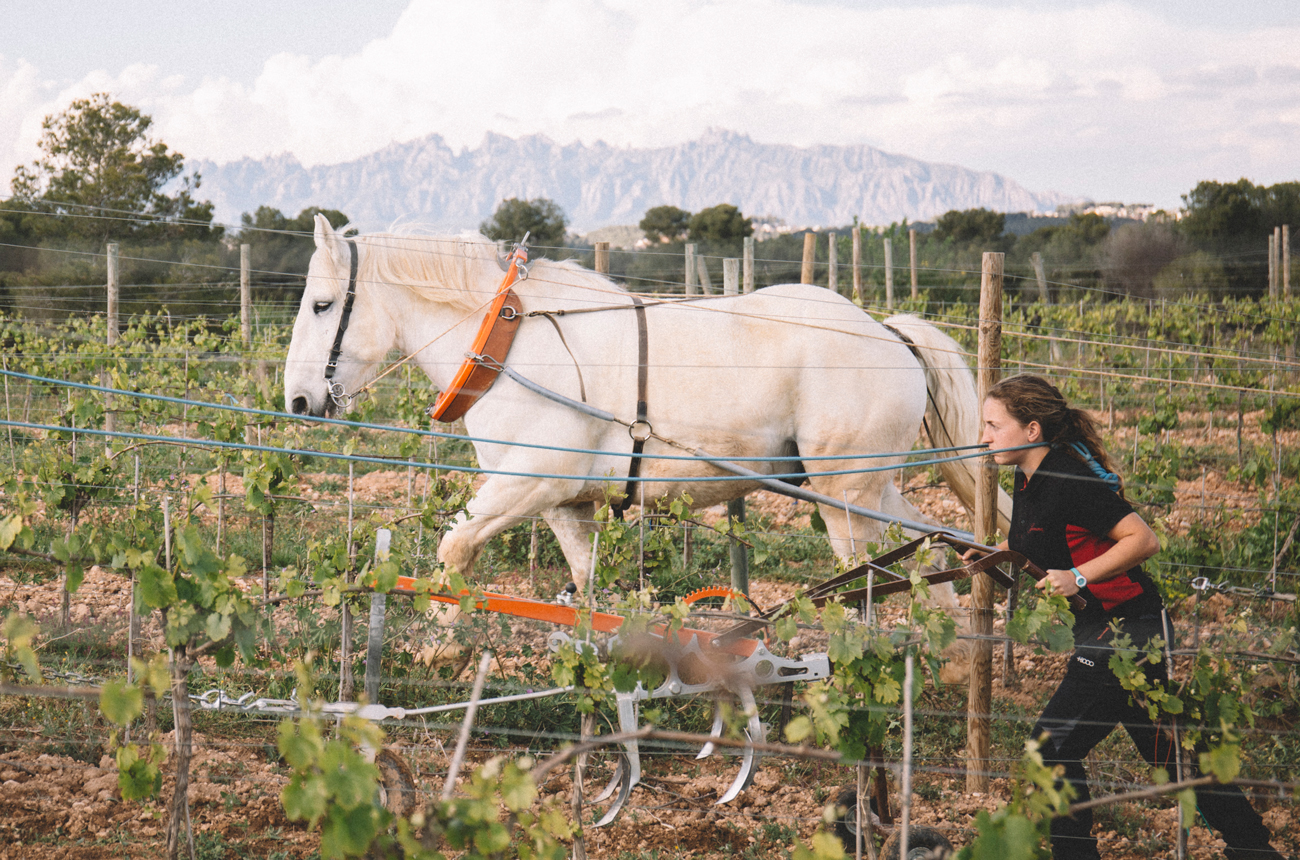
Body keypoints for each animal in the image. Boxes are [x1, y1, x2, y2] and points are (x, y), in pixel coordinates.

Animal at [284, 215, 1011, 678]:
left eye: (322, 304)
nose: (296, 402)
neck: (509, 343)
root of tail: (889, 332)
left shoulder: (531, 481)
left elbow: (454, 549)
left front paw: (445, 649)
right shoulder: (565, 505)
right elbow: (585, 586)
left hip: (845, 499)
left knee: (870, 580)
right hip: (871, 490)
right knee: (929, 550)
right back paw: (955, 664)